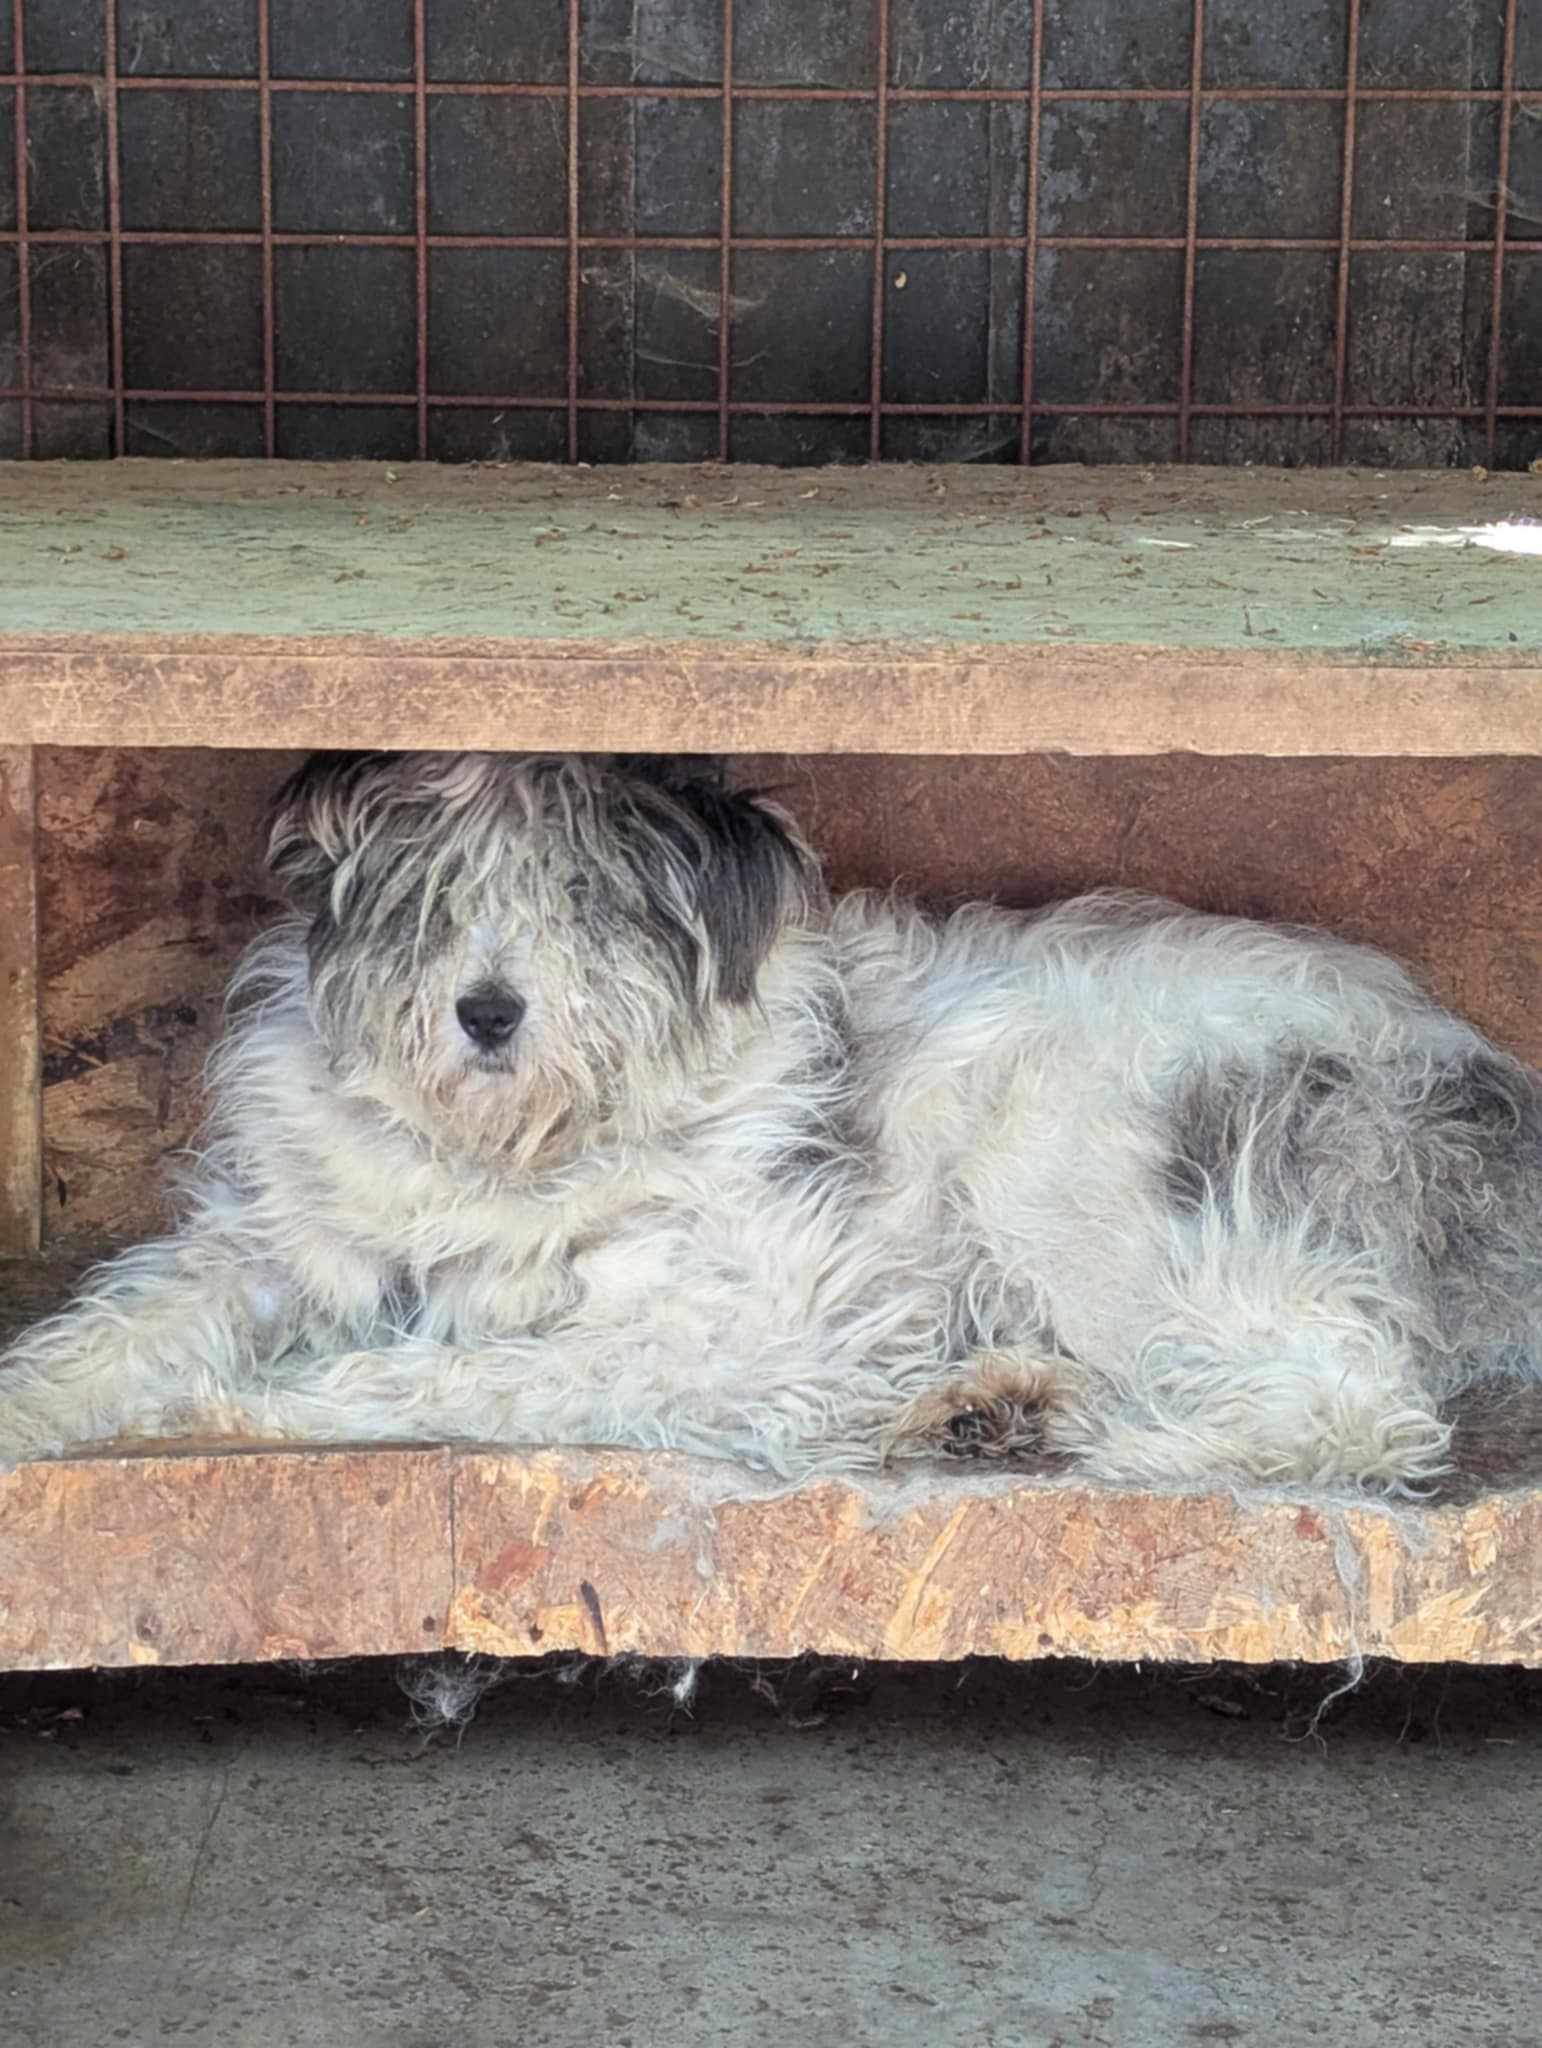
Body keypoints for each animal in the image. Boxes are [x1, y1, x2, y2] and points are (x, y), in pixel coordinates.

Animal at [3, 749, 1540, 1492]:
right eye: (431, 897)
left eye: (586, 899)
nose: (488, 1013)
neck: (520, 1150)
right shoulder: (272, 1241)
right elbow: (120, 1326)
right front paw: (45, 1406)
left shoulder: (747, 1319)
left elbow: (458, 1373)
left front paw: (245, 1407)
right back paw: (1000, 1404)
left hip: (1074, 1152)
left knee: (1357, 1409)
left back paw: (1088, 1438)